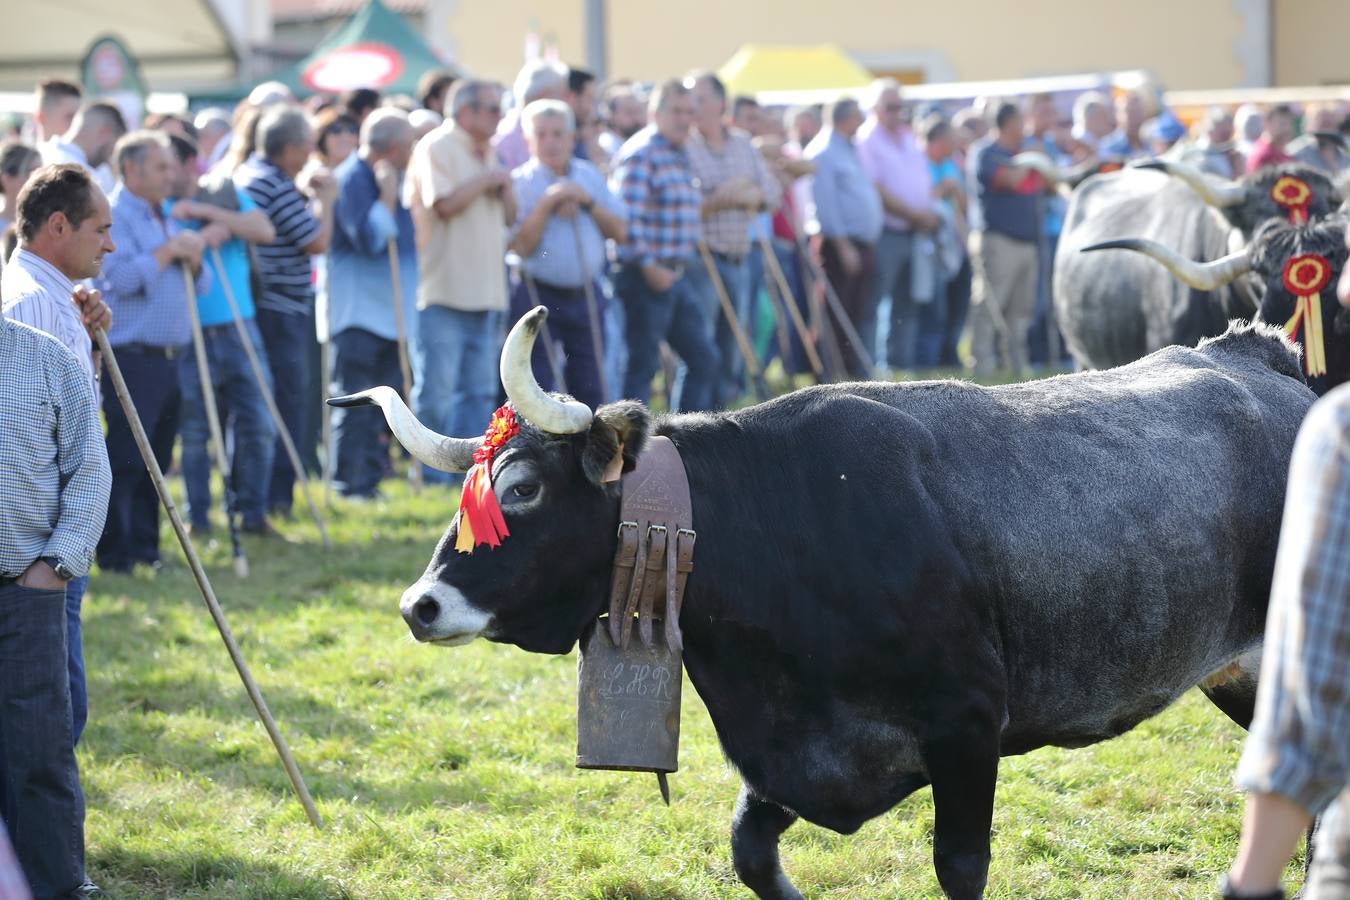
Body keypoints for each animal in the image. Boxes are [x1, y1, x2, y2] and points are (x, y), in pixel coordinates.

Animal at [332, 306, 1312, 895]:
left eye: (525, 488)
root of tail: (1257, 357)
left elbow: (960, 866)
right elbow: (749, 851)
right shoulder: (801, 759)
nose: (419, 604)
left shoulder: (967, 730)